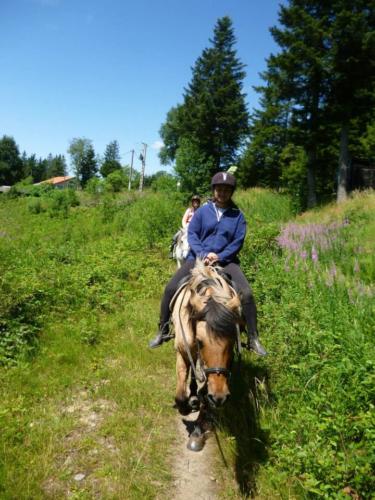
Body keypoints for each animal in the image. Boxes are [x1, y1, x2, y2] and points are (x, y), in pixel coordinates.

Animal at [172, 260, 242, 452]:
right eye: (200, 341)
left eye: (232, 341)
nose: (220, 397)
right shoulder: (183, 350)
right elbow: (181, 394)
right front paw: (186, 407)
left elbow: (206, 394)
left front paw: (197, 431)